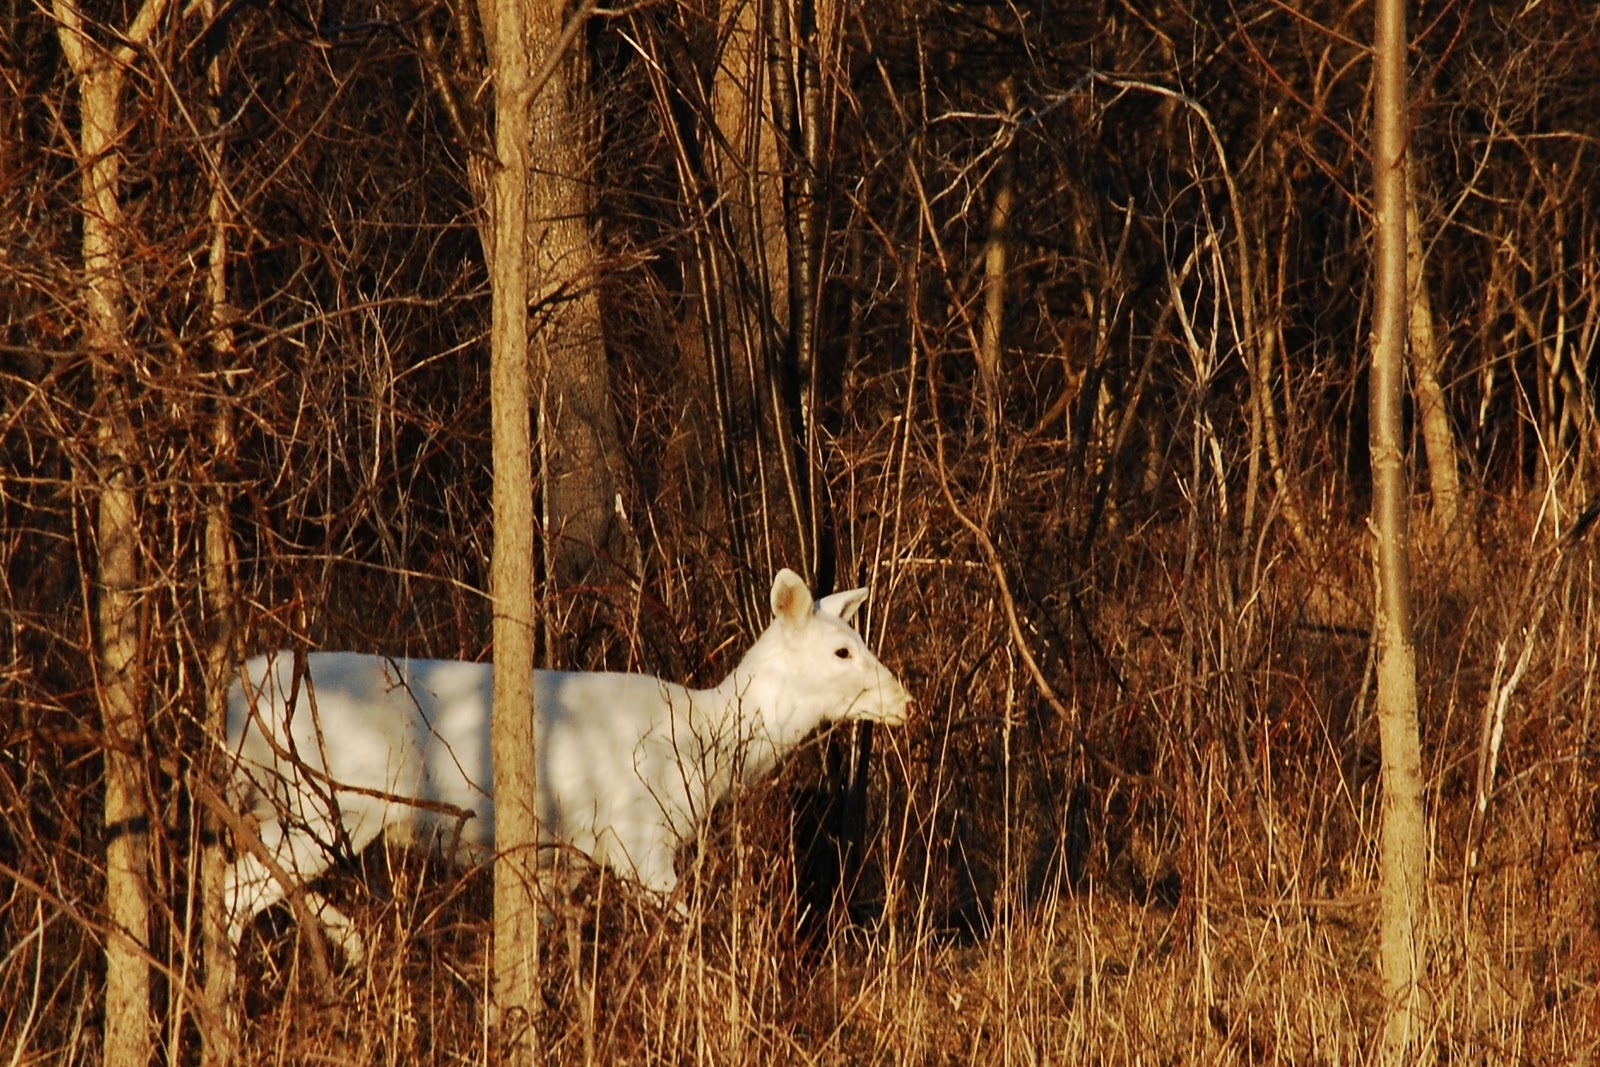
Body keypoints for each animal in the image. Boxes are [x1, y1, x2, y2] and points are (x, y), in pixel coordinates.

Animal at [223, 568, 912, 964]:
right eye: (842, 650)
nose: (905, 701)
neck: (703, 745)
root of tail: (233, 700)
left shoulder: (565, 859)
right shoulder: (638, 842)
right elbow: (694, 926)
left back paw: (352, 946)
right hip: (327, 801)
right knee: (234, 891)